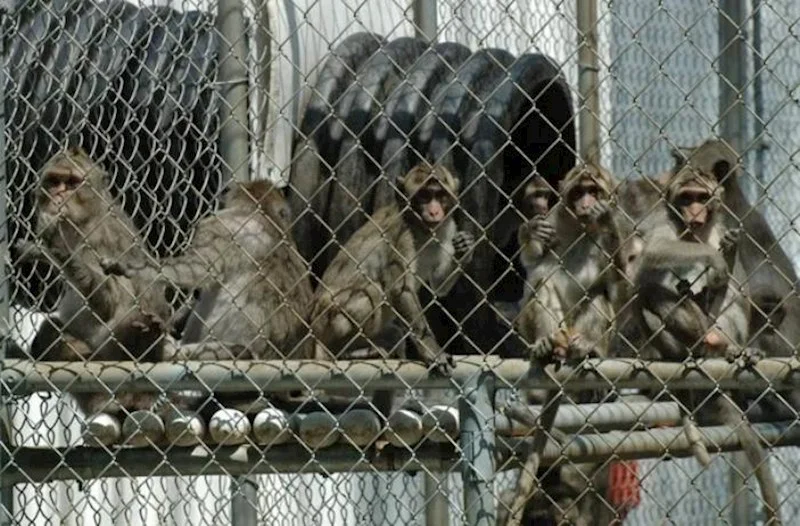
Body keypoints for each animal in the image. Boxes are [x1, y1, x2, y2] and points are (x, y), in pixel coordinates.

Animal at [12, 148, 173, 420]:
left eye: (72, 183)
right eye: (54, 181)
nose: (59, 195)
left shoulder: (99, 236)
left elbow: (109, 301)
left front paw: (57, 246)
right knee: (51, 330)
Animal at [310, 163, 476, 378]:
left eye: (440, 196)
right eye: (424, 196)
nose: (434, 212)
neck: (419, 227)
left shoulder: (447, 227)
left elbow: (439, 286)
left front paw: (465, 247)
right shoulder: (400, 234)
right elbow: (401, 289)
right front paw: (433, 351)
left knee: (393, 331)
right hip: (327, 321)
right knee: (372, 291)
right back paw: (345, 352)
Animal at [506, 165, 624, 526]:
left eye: (594, 190)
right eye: (578, 191)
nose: (586, 203)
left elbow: (619, 281)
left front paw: (606, 220)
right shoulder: (555, 216)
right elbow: (533, 265)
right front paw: (531, 231)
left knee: (599, 294)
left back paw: (585, 348)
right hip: (543, 327)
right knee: (542, 281)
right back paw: (548, 345)